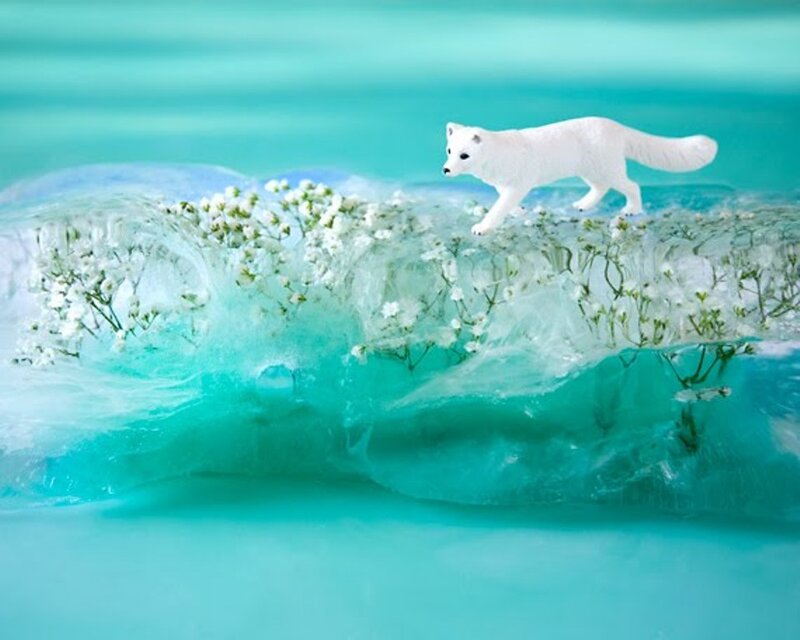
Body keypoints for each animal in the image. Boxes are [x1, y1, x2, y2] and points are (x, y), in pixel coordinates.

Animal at [442, 117, 718, 235]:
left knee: (633, 186)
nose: (445, 170)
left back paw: (632, 210)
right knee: (601, 188)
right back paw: (583, 205)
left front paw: (482, 227)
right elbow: (506, 203)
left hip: (609, 169)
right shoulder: (504, 185)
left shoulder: (518, 184)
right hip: (590, 171)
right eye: (449, 151)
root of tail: (616, 126)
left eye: (464, 155)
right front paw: (520, 211)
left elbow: (498, 209)